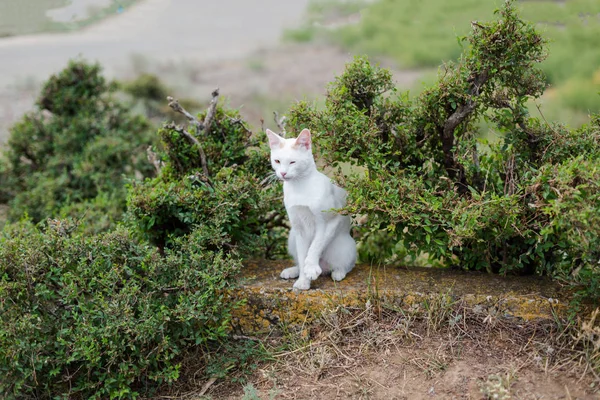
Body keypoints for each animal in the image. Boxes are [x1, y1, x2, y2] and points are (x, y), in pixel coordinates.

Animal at [266, 129, 356, 290]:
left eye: (292, 162)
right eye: (277, 161)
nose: (282, 173)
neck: (299, 187)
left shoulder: (332, 220)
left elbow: (316, 245)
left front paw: (311, 268)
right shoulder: (299, 229)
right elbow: (303, 256)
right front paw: (303, 281)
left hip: (345, 246)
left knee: (347, 264)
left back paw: (338, 272)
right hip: (292, 237)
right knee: (298, 260)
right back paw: (293, 271)